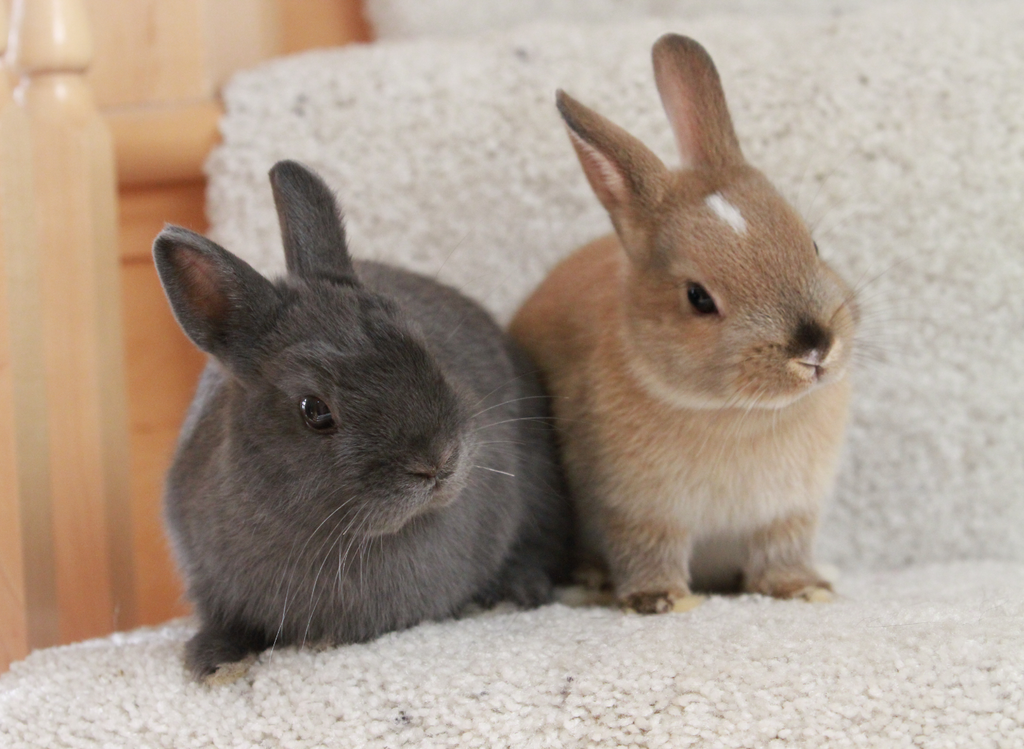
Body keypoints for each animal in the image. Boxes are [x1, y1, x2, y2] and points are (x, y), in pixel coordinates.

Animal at [512, 33, 856, 614]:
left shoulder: (786, 514)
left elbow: (781, 553)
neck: (737, 415)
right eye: (698, 298)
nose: (814, 350)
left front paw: (804, 588)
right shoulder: (637, 510)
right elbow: (648, 551)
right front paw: (663, 601)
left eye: (811, 244)